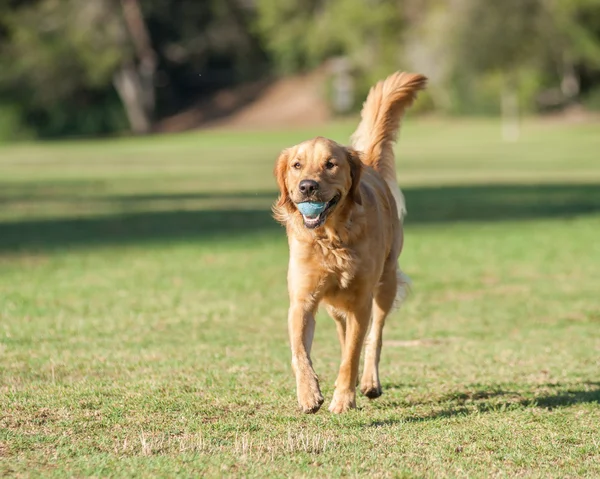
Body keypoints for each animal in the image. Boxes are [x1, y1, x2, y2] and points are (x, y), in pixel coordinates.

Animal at [274, 71, 426, 412]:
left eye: (330, 164)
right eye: (297, 165)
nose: (307, 186)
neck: (332, 238)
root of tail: (369, 163)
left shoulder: (360, 301)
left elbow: (354, 352)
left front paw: (343, 398)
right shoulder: (302, 299)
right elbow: (300, 352)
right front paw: (308, 393)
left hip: (385, 283)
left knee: (374, 336)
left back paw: (368, 381)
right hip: (334, 302)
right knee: (343, 334)